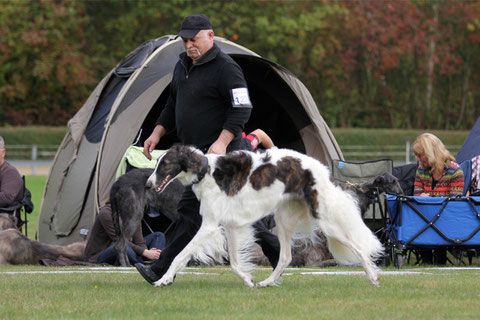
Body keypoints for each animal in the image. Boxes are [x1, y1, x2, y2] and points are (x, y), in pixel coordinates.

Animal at [148, 145, 384, 288]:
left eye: (165, 164)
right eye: (157, 162)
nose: (148, 185)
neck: (207, 171)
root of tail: (321, 169)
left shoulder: (210, 225)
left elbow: (180, 254)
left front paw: (164, 279)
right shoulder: (231, 226)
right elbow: (234, 262)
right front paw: (248, 279)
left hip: (326, 222)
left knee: (359, 247)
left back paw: (373, 276)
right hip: (284, 221)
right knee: (285, 257)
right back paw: (268, 282)